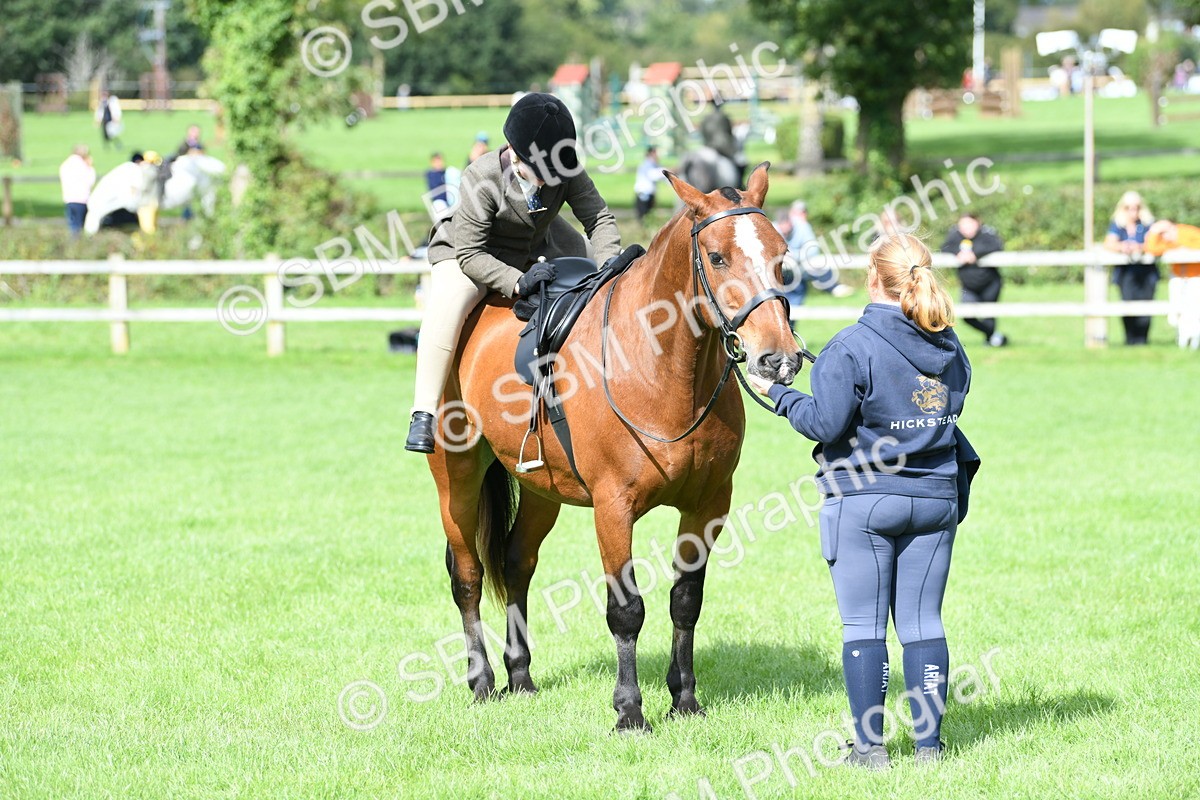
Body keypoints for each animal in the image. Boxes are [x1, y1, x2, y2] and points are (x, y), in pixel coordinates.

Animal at [426, 163, 802, 731]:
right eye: (717, 257)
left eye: (781, 254)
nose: (778, 359)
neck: (661, 370)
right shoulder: (614, 508)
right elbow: (626, 610)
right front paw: (629, 710)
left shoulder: (708, 505)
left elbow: (685, 601)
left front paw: (684, 699)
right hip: (458, 475)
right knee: (467, 575)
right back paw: (483, 682)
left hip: (543, 491)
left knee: (516, 565)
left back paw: (521, 677)